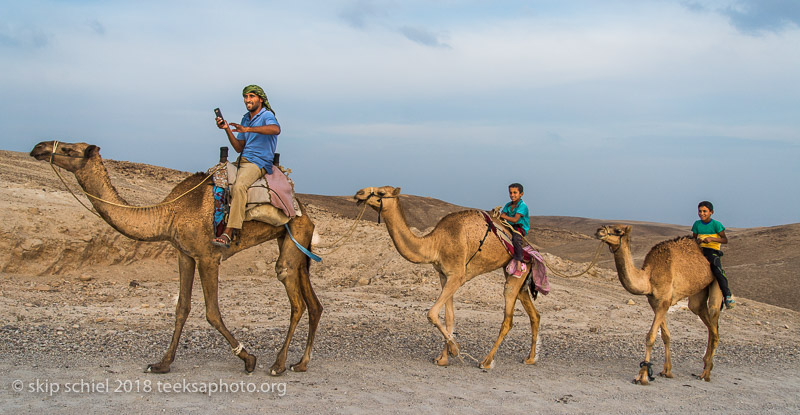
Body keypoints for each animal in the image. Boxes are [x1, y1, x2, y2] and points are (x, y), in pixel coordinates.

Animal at [31, 141, 320, 376]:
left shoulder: (207, 257)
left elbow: (212, 312)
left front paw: (248, 359)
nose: (38, 148)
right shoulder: (184, 254)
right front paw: (161, 363)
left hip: (294, 234)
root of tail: (301, 207)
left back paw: (278, 365)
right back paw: (301, 363)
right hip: (294, 241)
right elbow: (181, 307)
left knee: (294, 296)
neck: (171, 212)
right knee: (313, 303)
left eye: (69, 149)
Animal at [354, 187, 540, 368]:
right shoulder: (444, 276)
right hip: (517, 276)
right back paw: (530, 358)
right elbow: (449, 317)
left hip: (517, 269)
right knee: (534, 313)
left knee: (508, 316)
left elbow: (432, 313)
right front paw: (443, 358)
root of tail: (530, 249)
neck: (437, 243)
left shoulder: (457, 276)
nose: (359, 193)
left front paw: (454, 350)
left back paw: (486, 362)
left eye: (381, 192)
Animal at [592, 226, 724, 386]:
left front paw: (642, 376)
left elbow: (651, 337)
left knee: (714, 327)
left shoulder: (663, 302)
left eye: (618, 230)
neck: (648, 278)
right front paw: (667, 371)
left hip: (716, 283)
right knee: (706, 319)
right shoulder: (656, 303)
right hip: (698, 293)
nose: (599, 230)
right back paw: (706, 366)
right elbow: (666, 335)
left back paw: (706, 373)